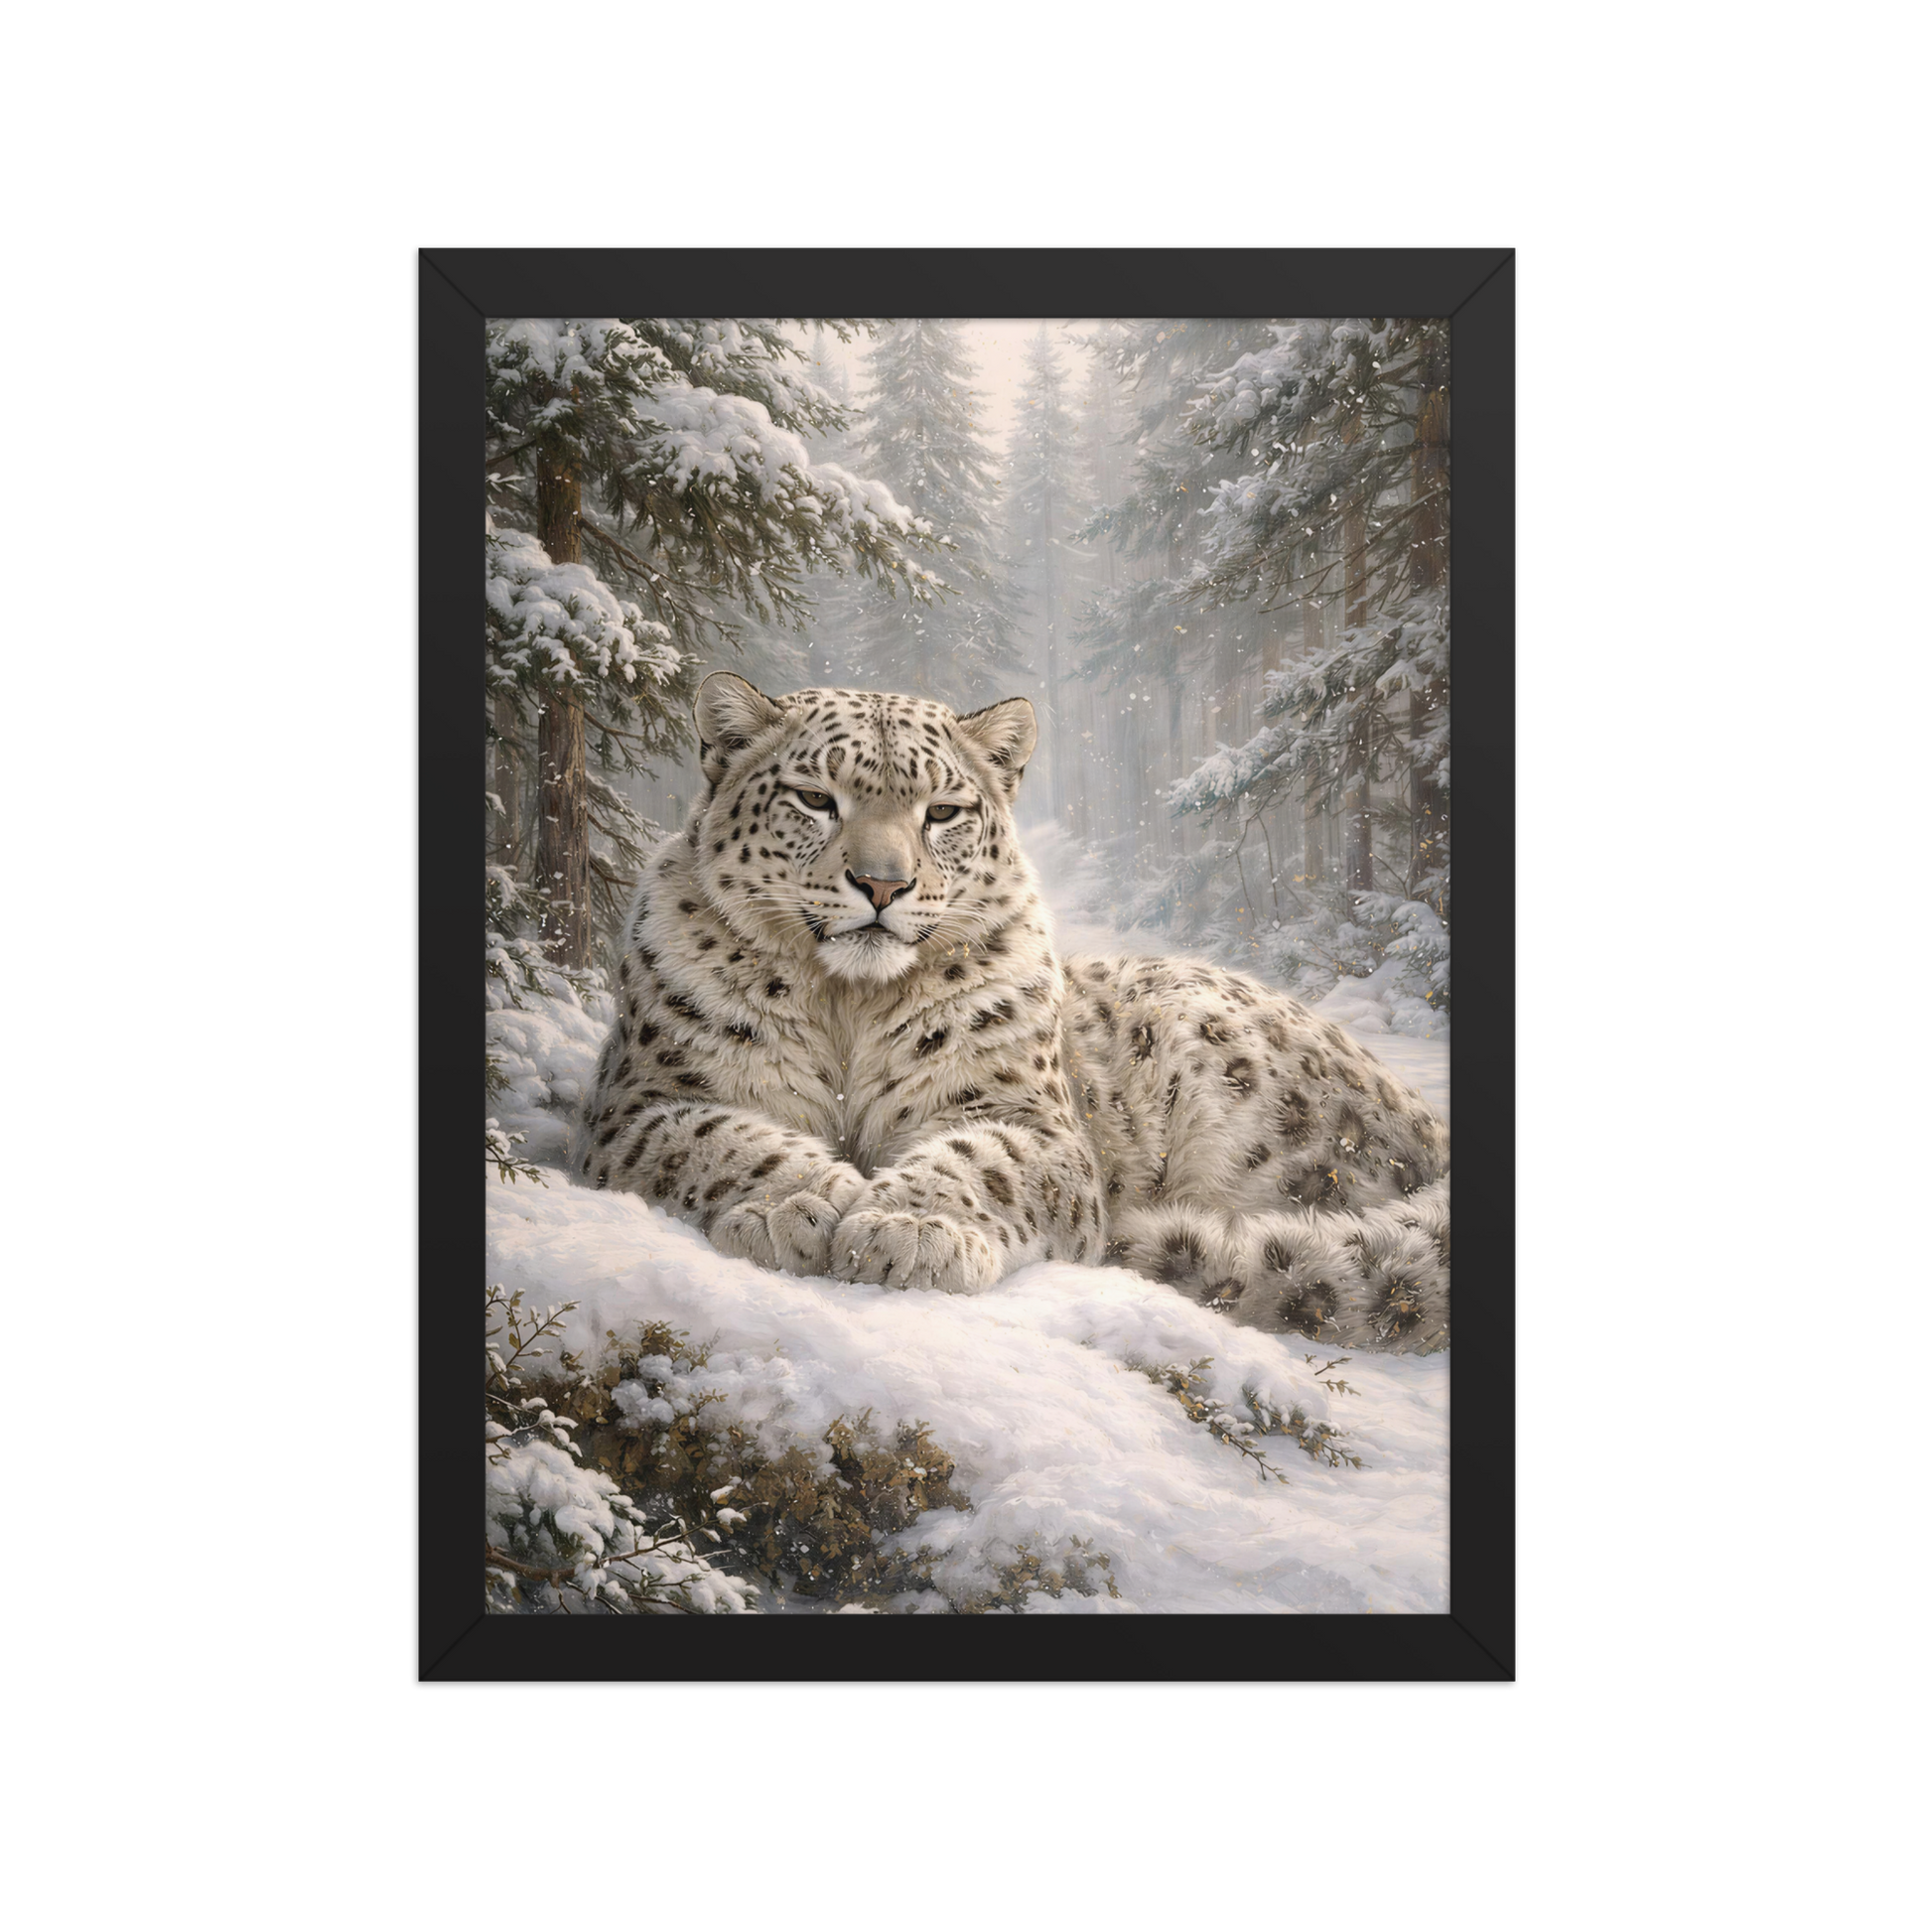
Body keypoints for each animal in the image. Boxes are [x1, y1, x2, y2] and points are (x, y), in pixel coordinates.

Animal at [571, 672, 1450, 1352]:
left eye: (943, 811)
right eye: (816, 797)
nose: (882, 884)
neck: (850, 1004)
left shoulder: (1027, 1118)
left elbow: (980, 1160)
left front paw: (907, 1230)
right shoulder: (643, 1102)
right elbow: (722, 1140)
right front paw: (798, 1208)